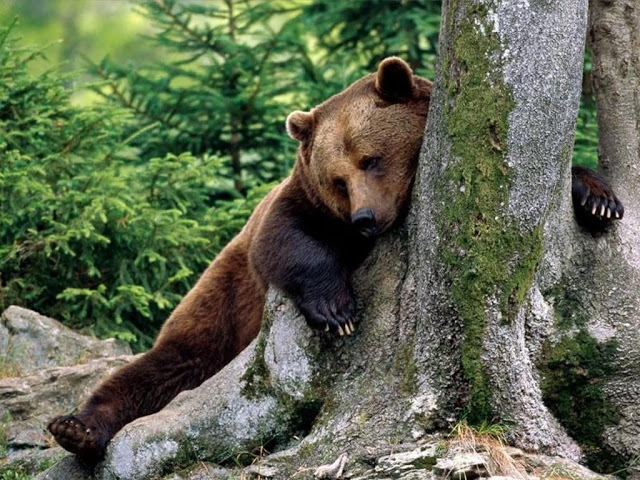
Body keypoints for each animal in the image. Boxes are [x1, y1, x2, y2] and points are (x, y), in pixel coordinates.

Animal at [47, 57, 623, 459]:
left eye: (372, 158)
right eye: (338, 179)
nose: (365, 218)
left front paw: (598, 198)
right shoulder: (299, 206)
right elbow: (285, 240)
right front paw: (336, 311)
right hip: (220, 304)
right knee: (165, 366)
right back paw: (76, 426)